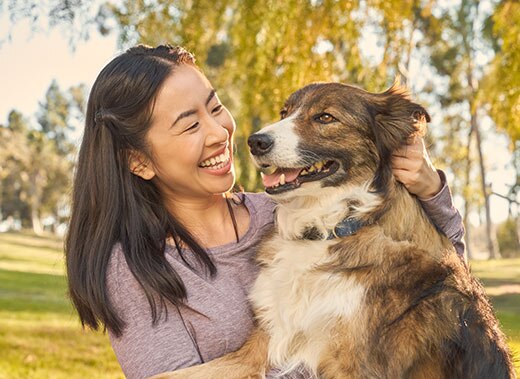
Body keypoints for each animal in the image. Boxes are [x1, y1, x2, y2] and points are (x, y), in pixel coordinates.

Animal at [151, 81, 516, 378]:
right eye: (285, 112)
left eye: (325, 118)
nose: (255, 141)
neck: (332, 226)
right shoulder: (262, 345)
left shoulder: (351, 364)